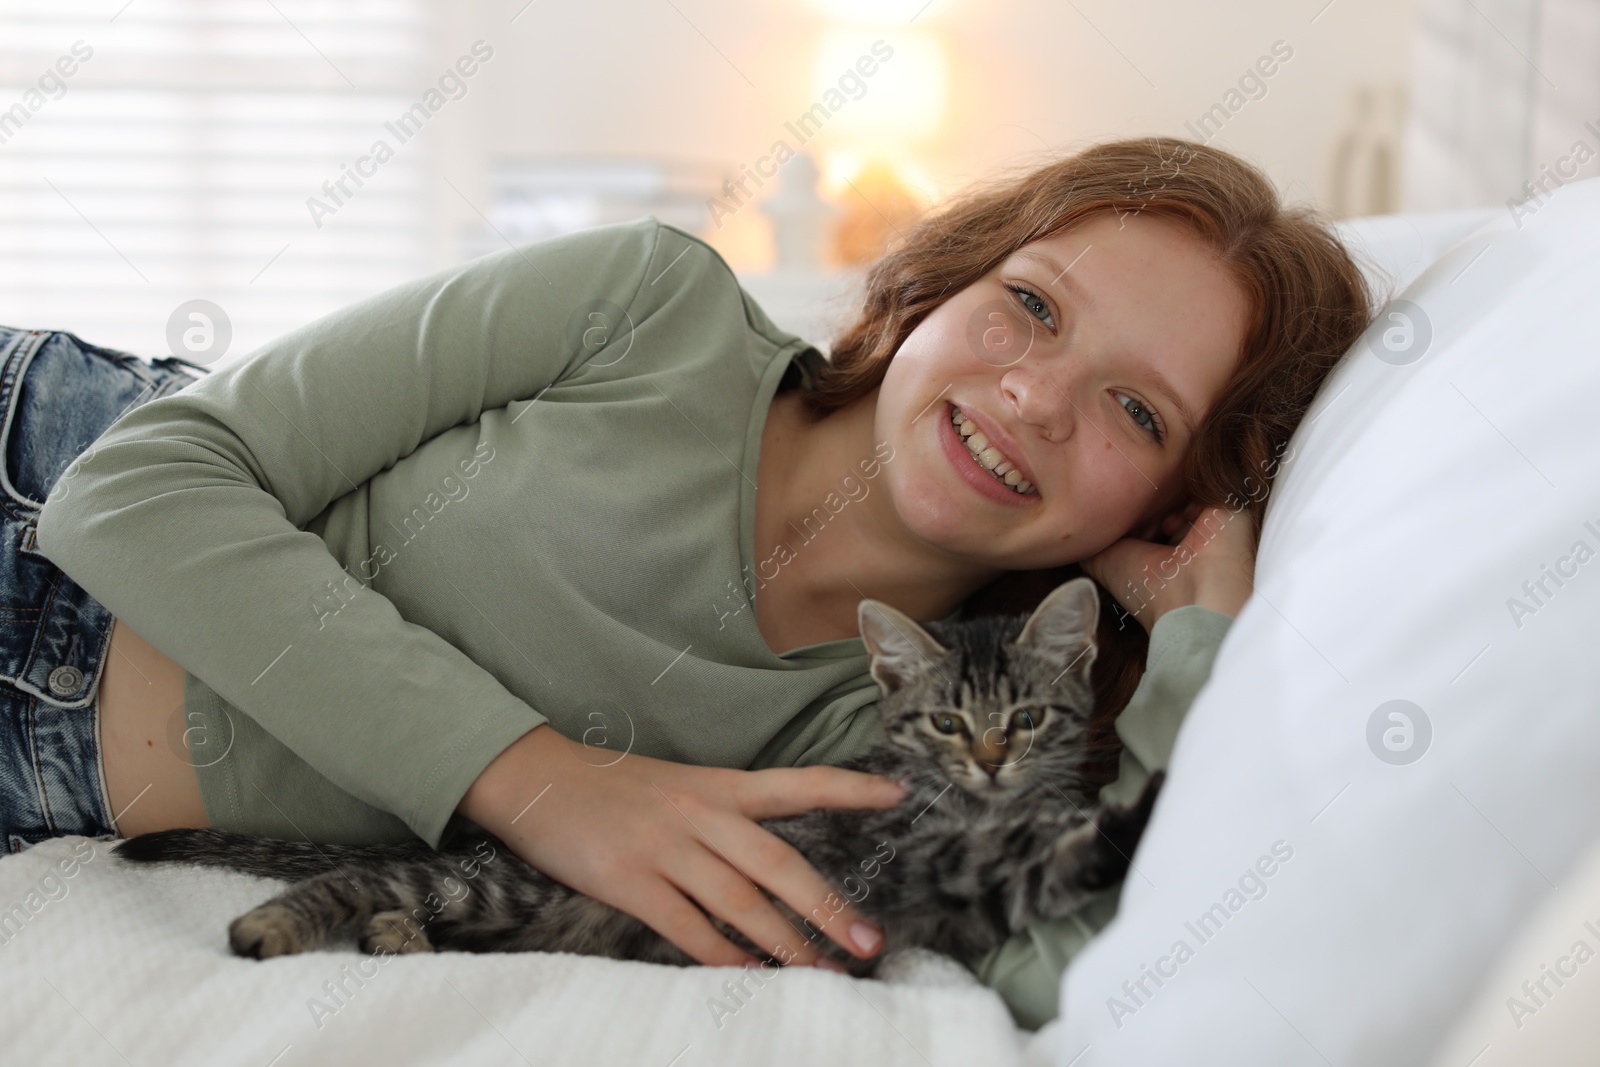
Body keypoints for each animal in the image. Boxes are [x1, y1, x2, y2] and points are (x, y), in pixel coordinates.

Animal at [116, 575, 1164, 979]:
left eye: (1025, 719)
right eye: (948, 722)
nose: (991, 760)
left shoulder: (971, 900)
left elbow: (1043, 862)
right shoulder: (905, 856)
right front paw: (1142, 805)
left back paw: (395, 936)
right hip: (501, 881)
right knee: (359, 876)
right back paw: (281, 923)